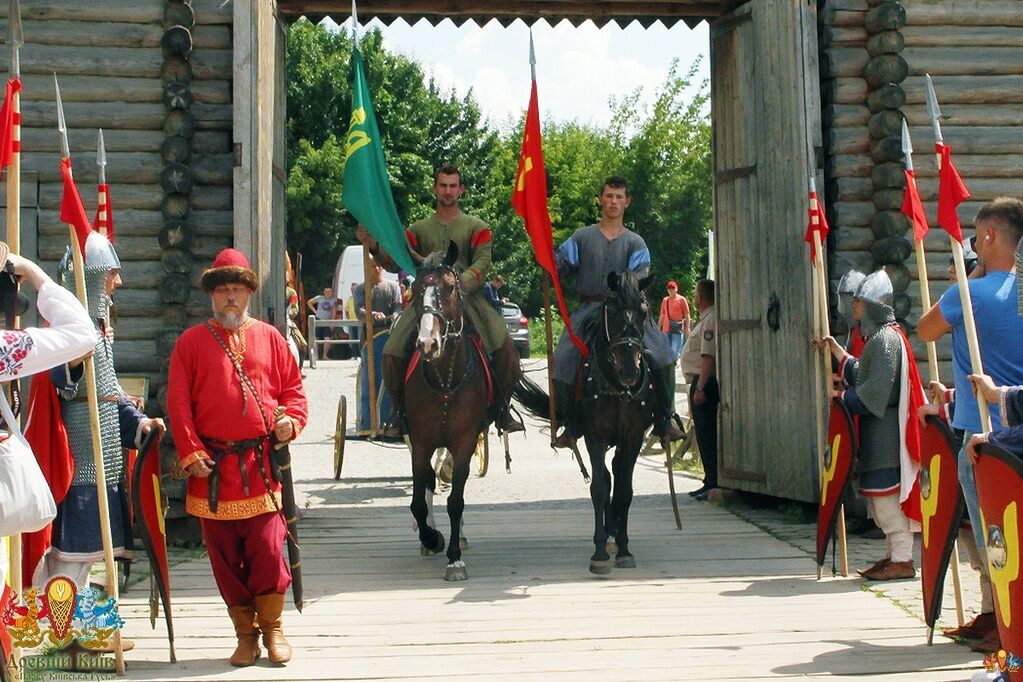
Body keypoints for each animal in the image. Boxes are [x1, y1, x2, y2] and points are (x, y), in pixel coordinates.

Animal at [515, 269, 658, 572]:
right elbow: (599, 488)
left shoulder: (633, 436)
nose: (630, 371)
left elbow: (625, 490)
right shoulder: (596, 435)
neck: (618, 386)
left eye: (644, 311)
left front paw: (624, 548)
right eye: (611, 312)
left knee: (615, 473)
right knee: (605, 475)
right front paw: (600, 552)